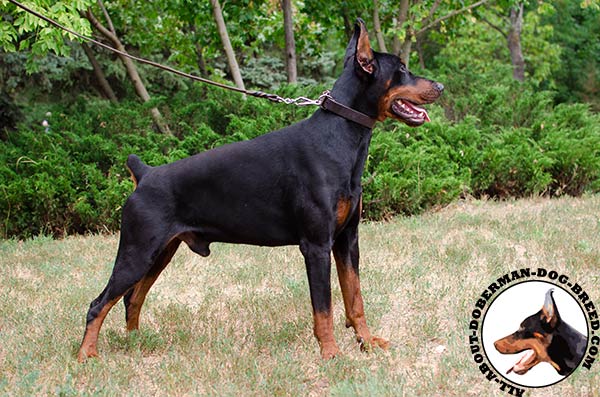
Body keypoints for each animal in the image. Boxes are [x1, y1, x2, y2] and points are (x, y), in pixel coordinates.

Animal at [75, 18, 442, 360]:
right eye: (402, 69)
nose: (439, 85)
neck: (341, 137)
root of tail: (146, 173)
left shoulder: (347, 240)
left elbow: (355, 298)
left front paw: (366, 342)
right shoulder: (316, 245)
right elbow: (323, 308)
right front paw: (331, 353)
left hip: (161, 251)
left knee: (132, 297)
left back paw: (136, 343)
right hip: (137, 251)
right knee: (99, 303)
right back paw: (86, 356)